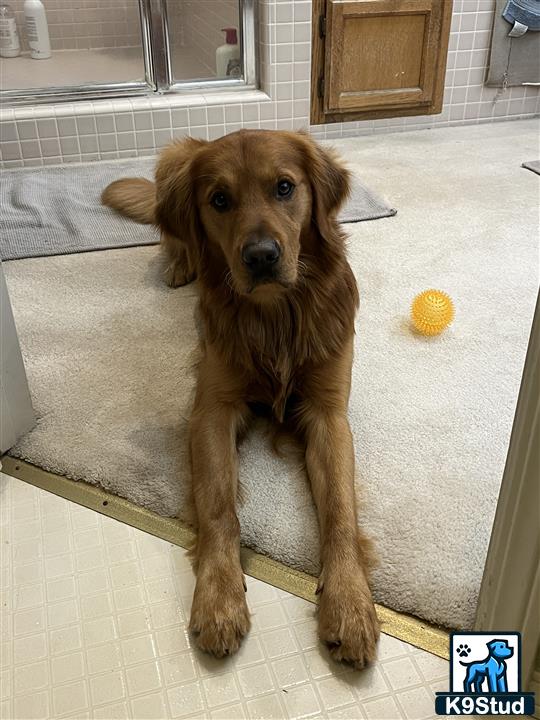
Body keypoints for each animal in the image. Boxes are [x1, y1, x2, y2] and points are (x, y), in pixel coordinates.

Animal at [102, 131, 380, 668]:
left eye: (285, 187)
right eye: (219, 200)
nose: (261, 256)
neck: (276, 316)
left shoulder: (329, 413)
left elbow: (340, 509)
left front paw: (350, 603)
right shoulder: (212, 409)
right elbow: (217, 507)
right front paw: (218, 601)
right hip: (173, 160)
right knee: (174, 238)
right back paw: (180, 263)